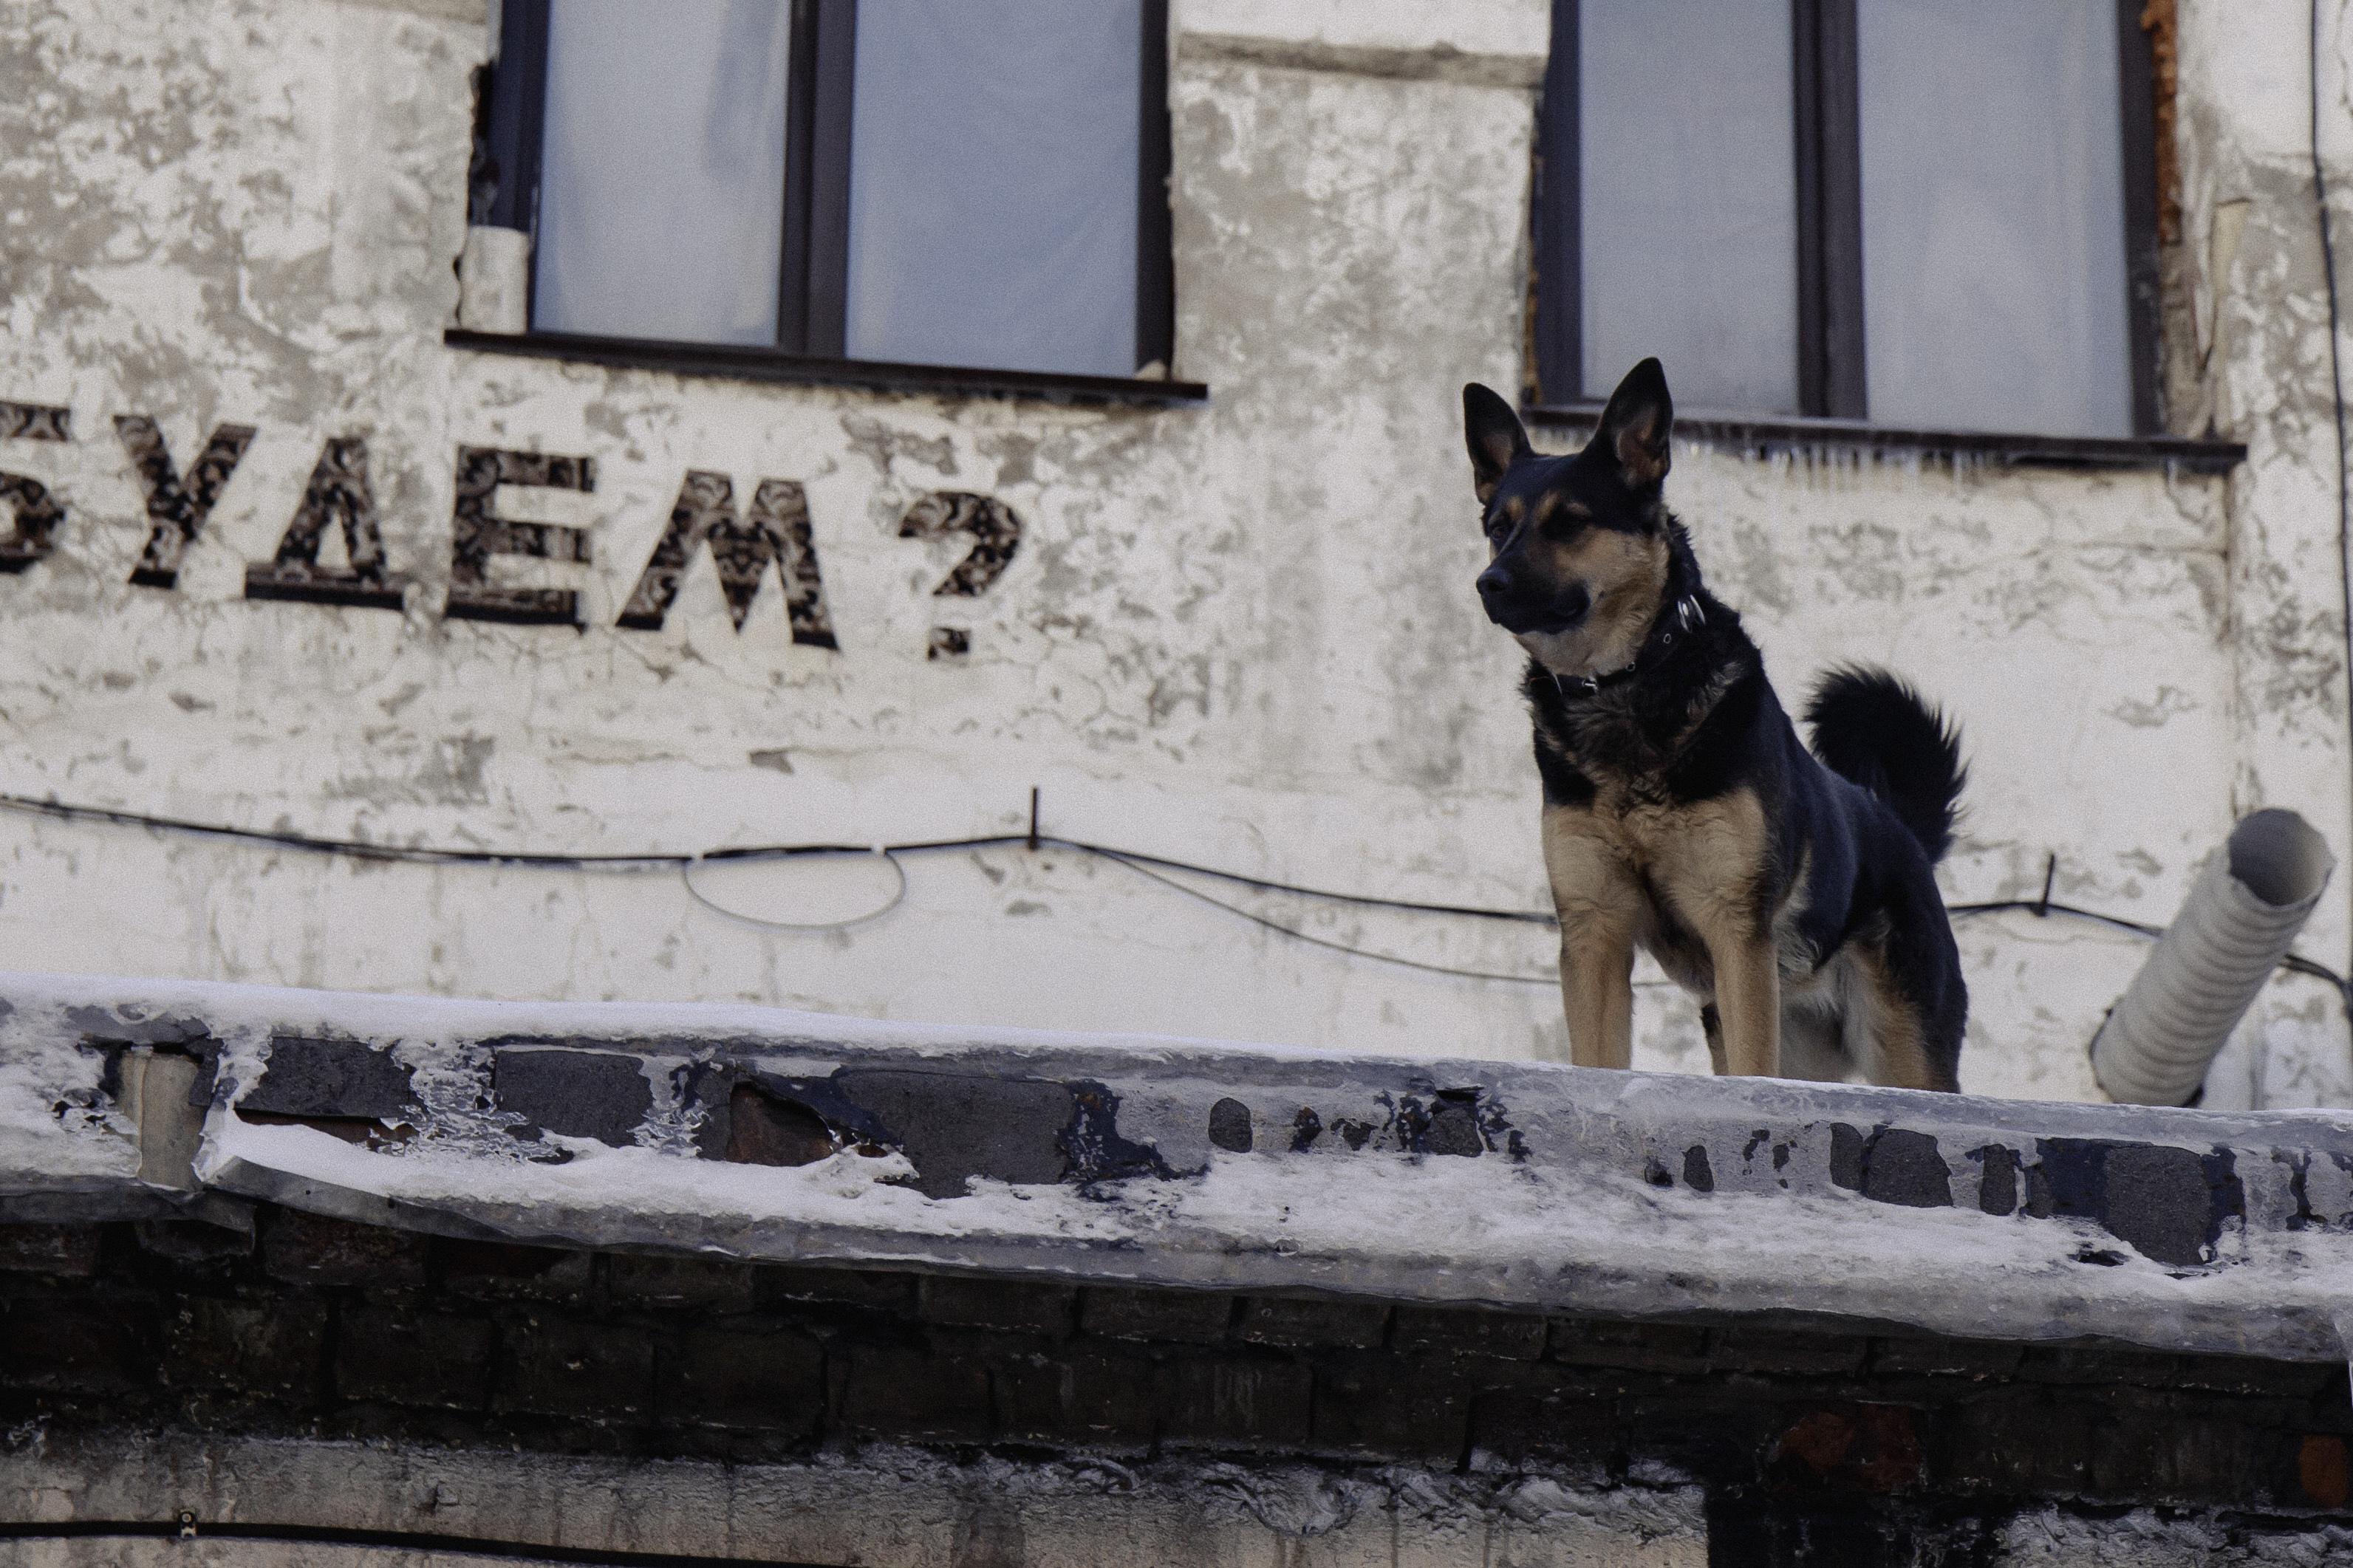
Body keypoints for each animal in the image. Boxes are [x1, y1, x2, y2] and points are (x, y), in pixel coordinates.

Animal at [1458, 355, 1976, 1090]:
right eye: (1498, 527)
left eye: (1569, 523)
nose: (1488, 584)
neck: (1626, 680)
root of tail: (1900, 831)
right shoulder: (1595, 934)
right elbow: (1596, 1056)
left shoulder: (1735, 932)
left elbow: (1751, 1068)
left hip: (1903, 1048)